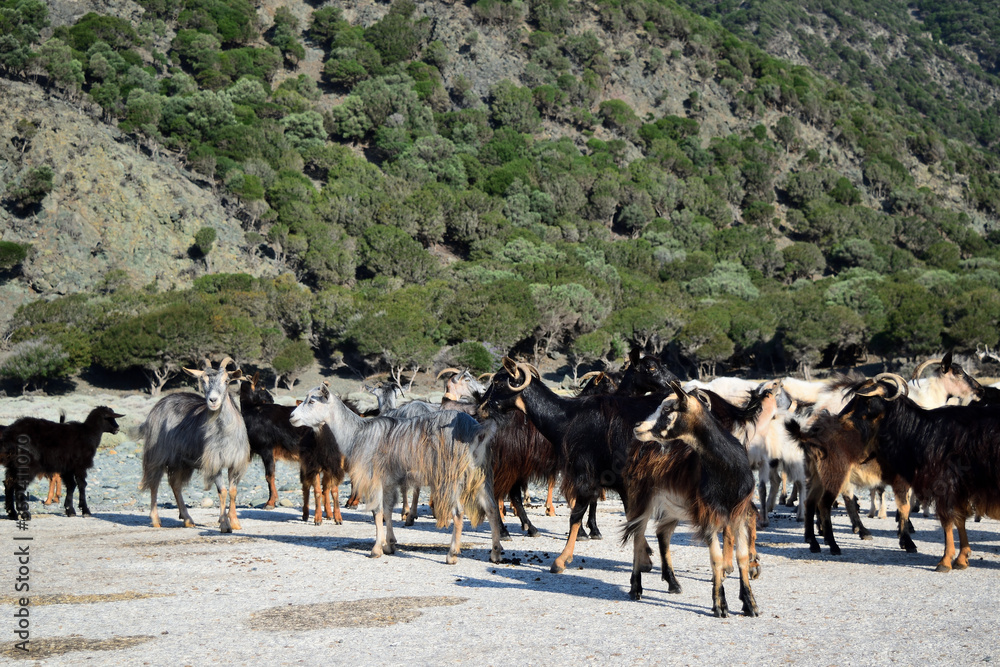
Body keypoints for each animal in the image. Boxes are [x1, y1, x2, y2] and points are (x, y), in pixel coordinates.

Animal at [139, 357, 249, 533]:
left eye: (226, 380)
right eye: (203, 381)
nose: (213, 400)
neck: (225, 433)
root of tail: (161, 402)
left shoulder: (235, 463)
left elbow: (233, 491)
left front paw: (235, 522)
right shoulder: (214, 462)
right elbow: (223, 491)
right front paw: (225, 525)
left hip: (181, 462)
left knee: (175, 485)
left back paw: (187, 519)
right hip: (157, 456)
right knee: (154, 483)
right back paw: (156, 519)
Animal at [290, 383, 503, 564]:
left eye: (312, 401)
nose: (291, 417)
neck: (357, 434)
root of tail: (476, 429)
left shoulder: (374, 477)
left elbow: (377, 511)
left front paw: (376, 549)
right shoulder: (389, 481)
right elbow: (387, 509)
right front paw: (390, 544)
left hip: (451, 477)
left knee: (458, 513)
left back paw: (452, 555)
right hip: (482, 474)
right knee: (491, 508)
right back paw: (495, 553)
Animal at [624, 382, 759, 618]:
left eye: (667, 409)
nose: (638, 426)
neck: (728, 470)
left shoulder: (739, 513)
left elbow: (741, 556)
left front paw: (750, 604)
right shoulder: (709, 514)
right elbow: (716, 559)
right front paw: (720, 605)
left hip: (674, 505)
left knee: (662, 533)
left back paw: (673, 582)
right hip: (640, 498)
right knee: (638, 537)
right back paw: (636, 589)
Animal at [841, 373, 1000, 571]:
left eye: (865, 399)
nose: (841, 417)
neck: (919, 431)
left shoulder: (944, 483)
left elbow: (947, 520)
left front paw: (945, 561)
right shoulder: (959, 488)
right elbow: (959, 519)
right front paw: (962, 558)